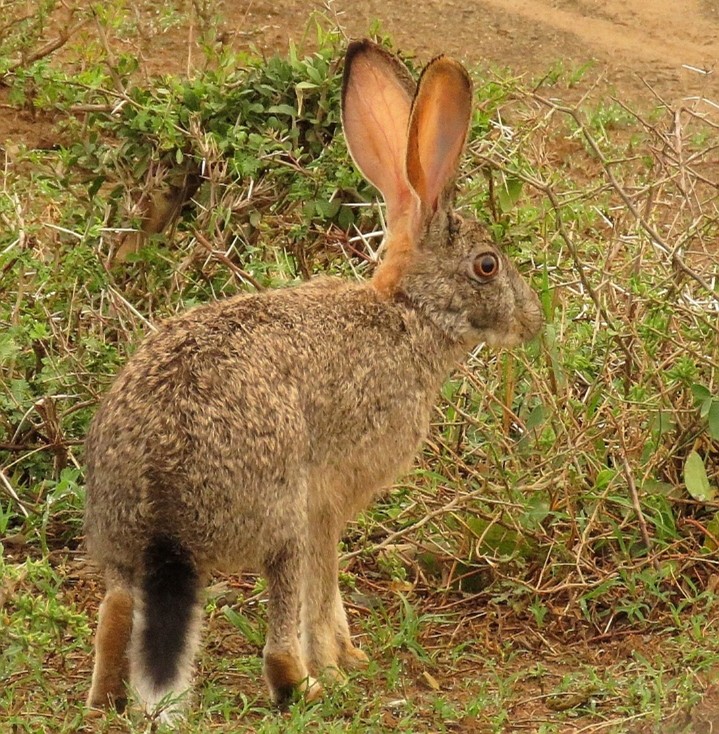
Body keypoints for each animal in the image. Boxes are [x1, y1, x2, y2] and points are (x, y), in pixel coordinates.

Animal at [83, 38, 543, 721]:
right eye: (487, 266)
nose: (532, 320)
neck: (408, 312)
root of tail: (163, 512)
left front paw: (350, 655)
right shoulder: (330, 500)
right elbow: (324, 584)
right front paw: (343, 661)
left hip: (119, 542)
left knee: (115, 614)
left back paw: (107, 702)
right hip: (280, 515)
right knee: (280, 617)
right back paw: (304, 685)